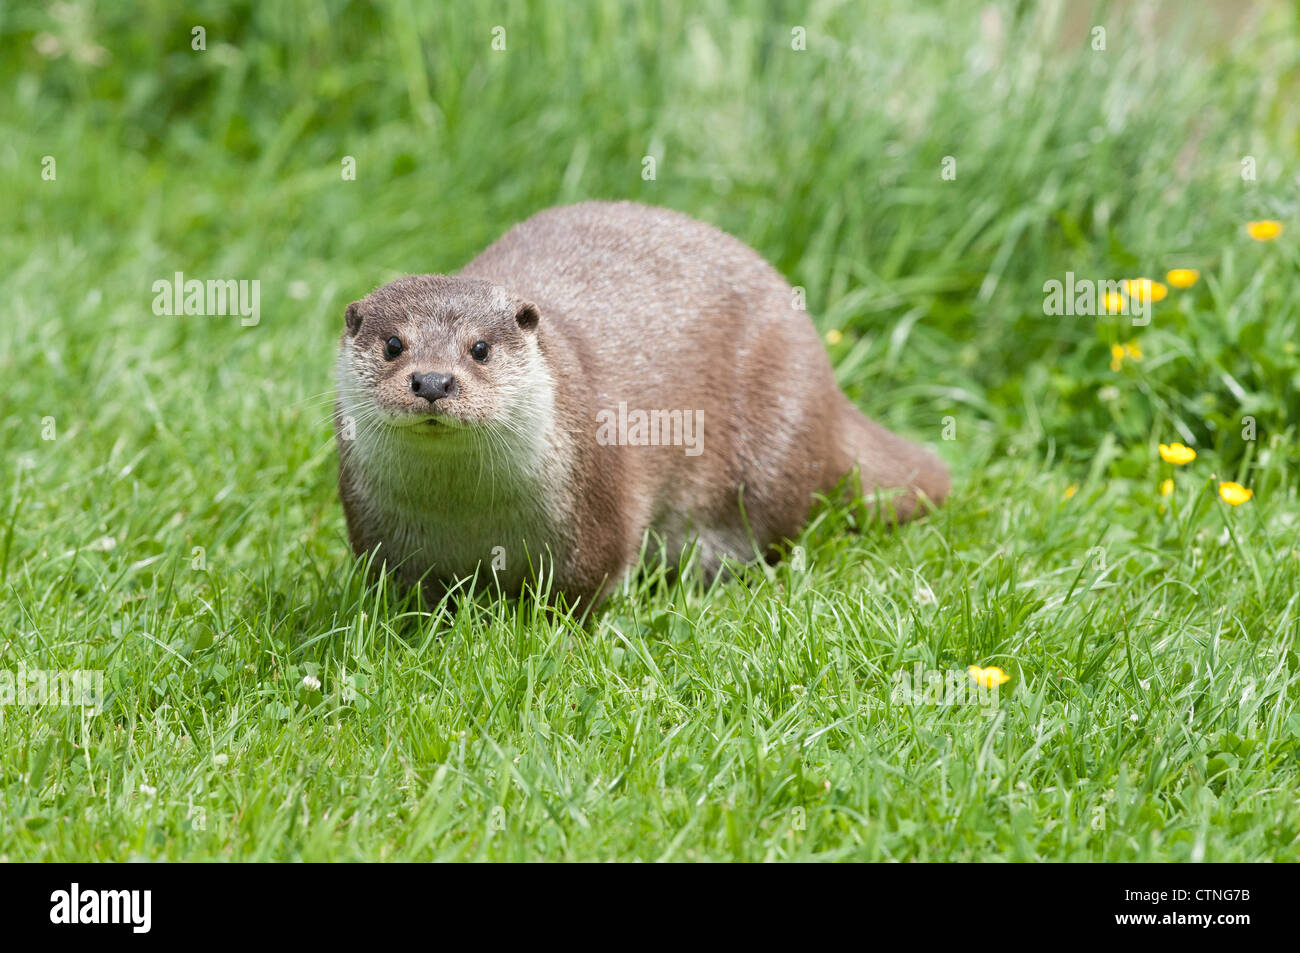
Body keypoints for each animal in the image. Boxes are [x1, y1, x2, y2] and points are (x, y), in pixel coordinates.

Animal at [332, 200, 946, 605]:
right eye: (394, 345)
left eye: (479, 348)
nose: (433, 382)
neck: (466, 516)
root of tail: (828, 386)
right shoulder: (379, 537)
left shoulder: (597, 515)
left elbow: (584, 592)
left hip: (771, 457)